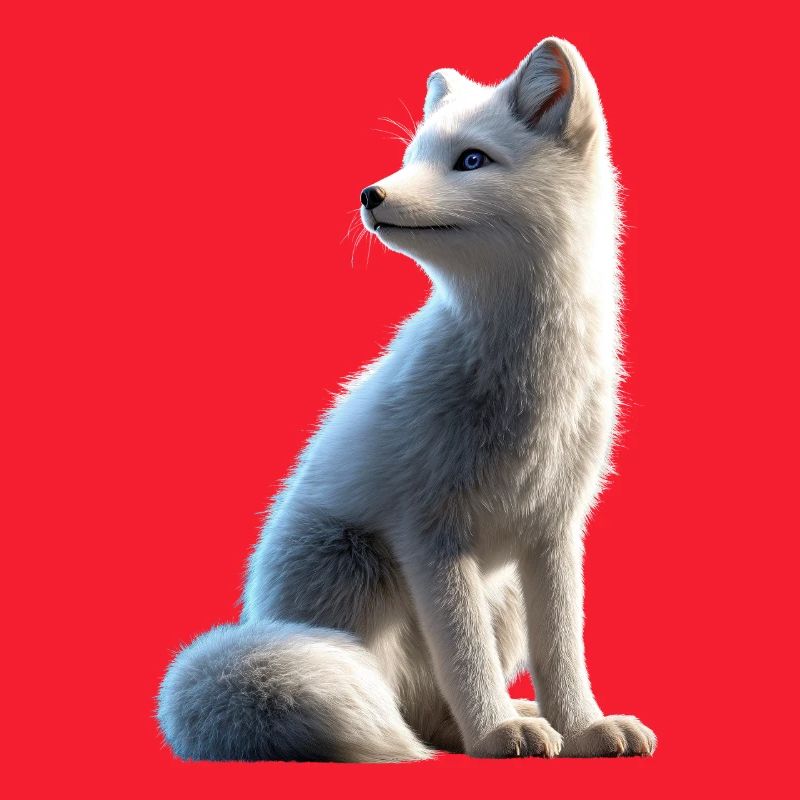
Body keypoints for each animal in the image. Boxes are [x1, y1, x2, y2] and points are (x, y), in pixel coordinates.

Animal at [157, 36, 656, 762]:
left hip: (500, 594)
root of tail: (256, 616)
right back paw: (476, 729)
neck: (527, 379)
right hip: (357, 571)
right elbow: (466, 658)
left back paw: (514, 719)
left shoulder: (554, 530)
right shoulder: (429, 532)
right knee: (404, 702)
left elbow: (564, 650)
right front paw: (496, 733)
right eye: (413, 155)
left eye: (471, 159)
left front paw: (586, 726)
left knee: (432, 706)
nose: (370, 193)